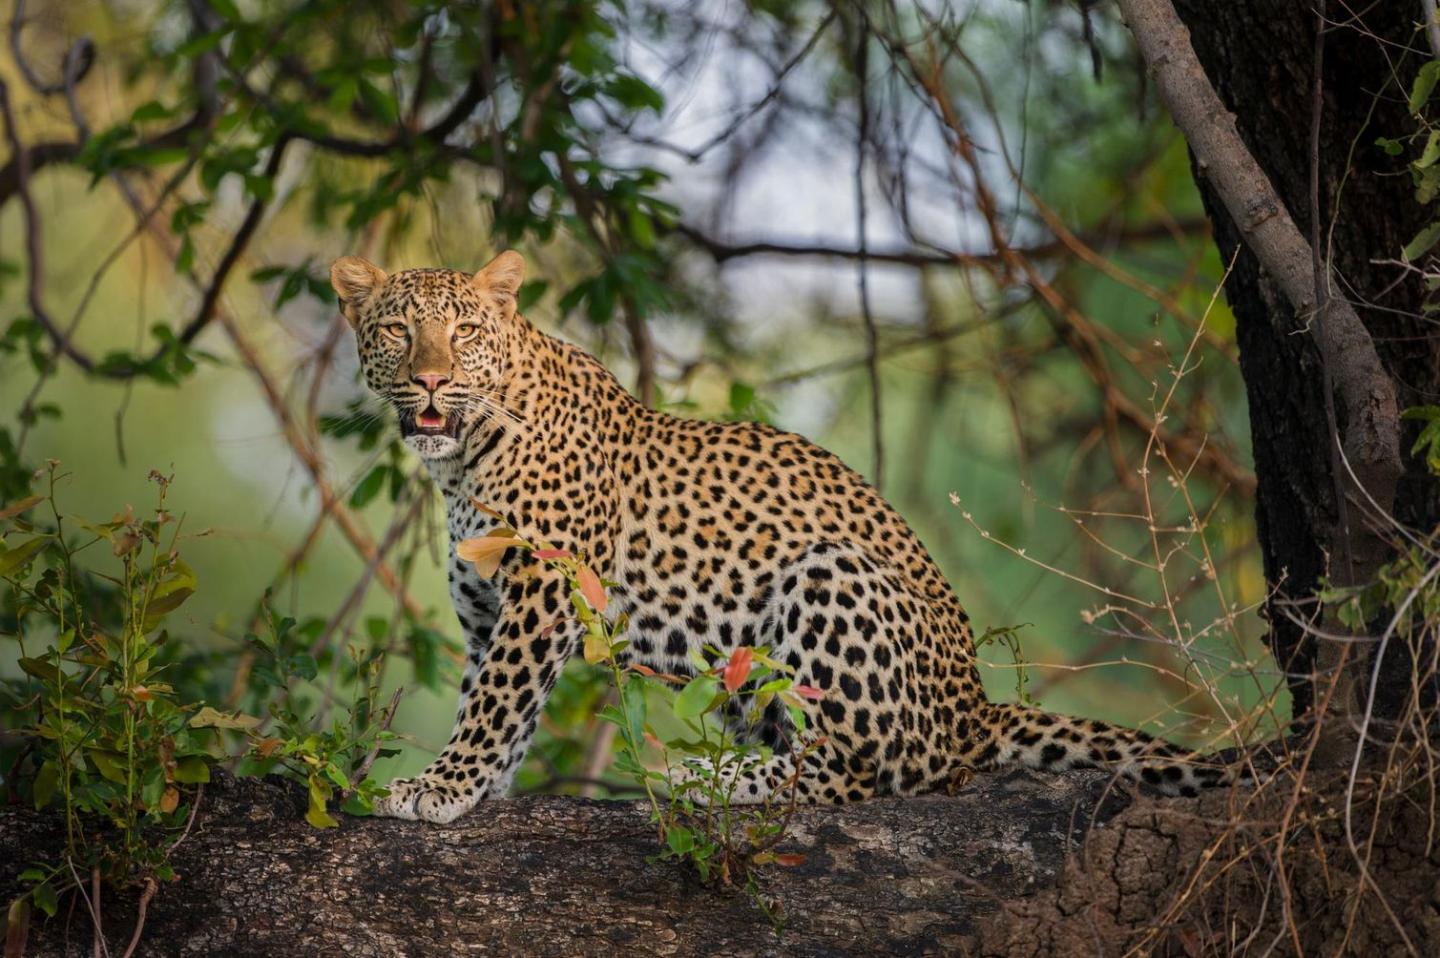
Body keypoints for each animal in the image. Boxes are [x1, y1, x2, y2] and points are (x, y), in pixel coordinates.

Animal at [329, 250, 1231, 824]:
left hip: (828, 577)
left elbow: (494, 701)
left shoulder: (544, 590)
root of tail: (974, 707)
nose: (433, 380)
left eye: (464, 332)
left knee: (854, 773)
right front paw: (479, 788)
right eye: (399, 331)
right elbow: (495, 703)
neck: (464, 459)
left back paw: (711, 780)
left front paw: (442, 787)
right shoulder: (490, 609)